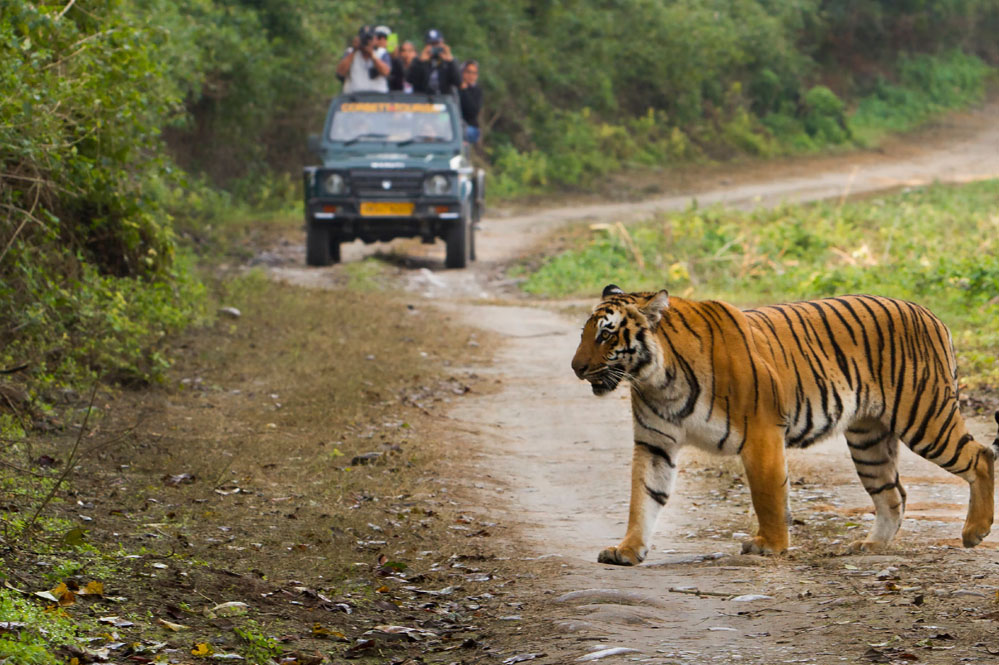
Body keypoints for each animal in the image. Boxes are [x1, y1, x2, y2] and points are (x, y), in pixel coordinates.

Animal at [572, 282, 999, 564]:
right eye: (584, 334)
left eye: (606, 335)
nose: (576, 368)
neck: (656, 379)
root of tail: (930, 314)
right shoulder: (655, 443)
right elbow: (643, 497)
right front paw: (627, 549)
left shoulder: (761, 433)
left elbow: (768, 496)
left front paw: (770, 545)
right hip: (869, 440)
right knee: (894, 493)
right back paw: (872, 545)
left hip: (924, 418)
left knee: (981, 456)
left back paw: (974, 532)